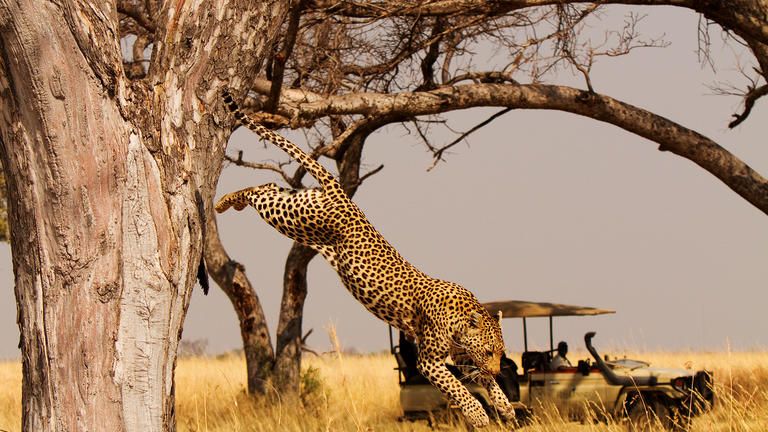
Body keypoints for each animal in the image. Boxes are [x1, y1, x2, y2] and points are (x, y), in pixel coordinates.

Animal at [215, 90, 515, 427]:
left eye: (501, 352)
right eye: (489, 351)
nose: (497, 368)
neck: (462, 319)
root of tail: (341, 193)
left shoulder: (460, 356)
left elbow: (482, 381)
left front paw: (505, 405)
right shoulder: (429, 361)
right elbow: (458, 388)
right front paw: (478, 414)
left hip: (297, 206)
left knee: (268, 186)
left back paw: (228, 201)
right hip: (295, 218)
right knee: (260, 192)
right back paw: (224, 202)